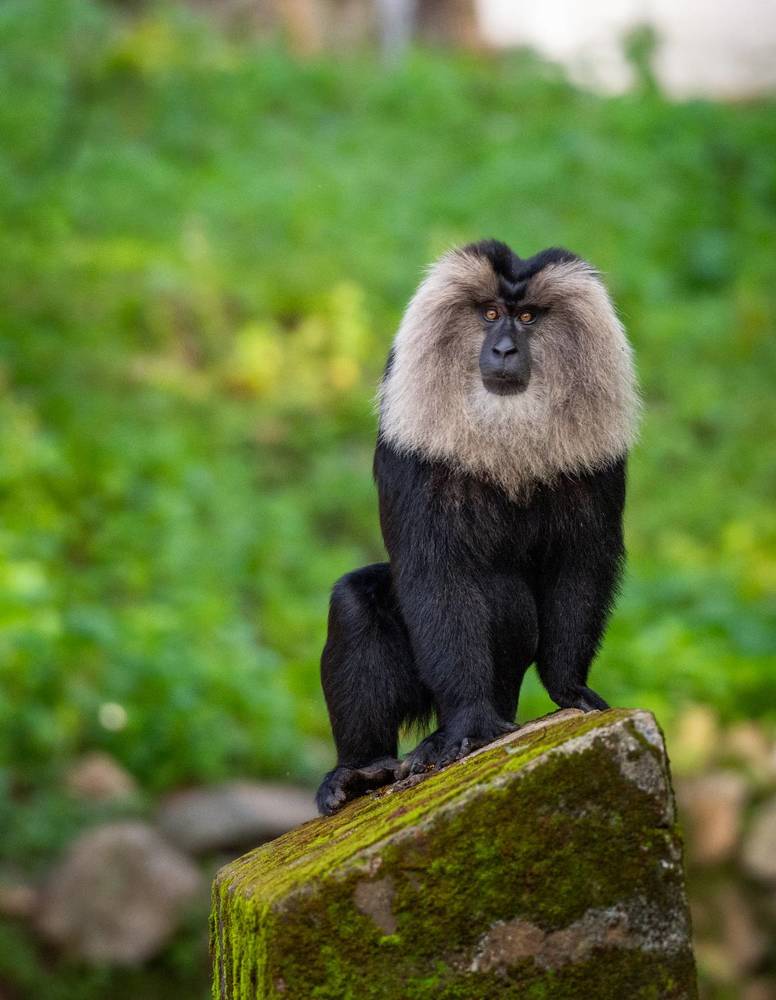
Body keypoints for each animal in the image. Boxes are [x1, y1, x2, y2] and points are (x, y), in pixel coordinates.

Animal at [315, 240, 639, 815]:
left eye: (527, 317)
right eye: (489, 314)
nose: (505, 349)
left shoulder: (598, 462)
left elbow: (580, 562)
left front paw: (568, 688)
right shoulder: (415, 445)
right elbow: (434, 573)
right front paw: (467, 723)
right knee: (354, 602)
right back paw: (361, 771)